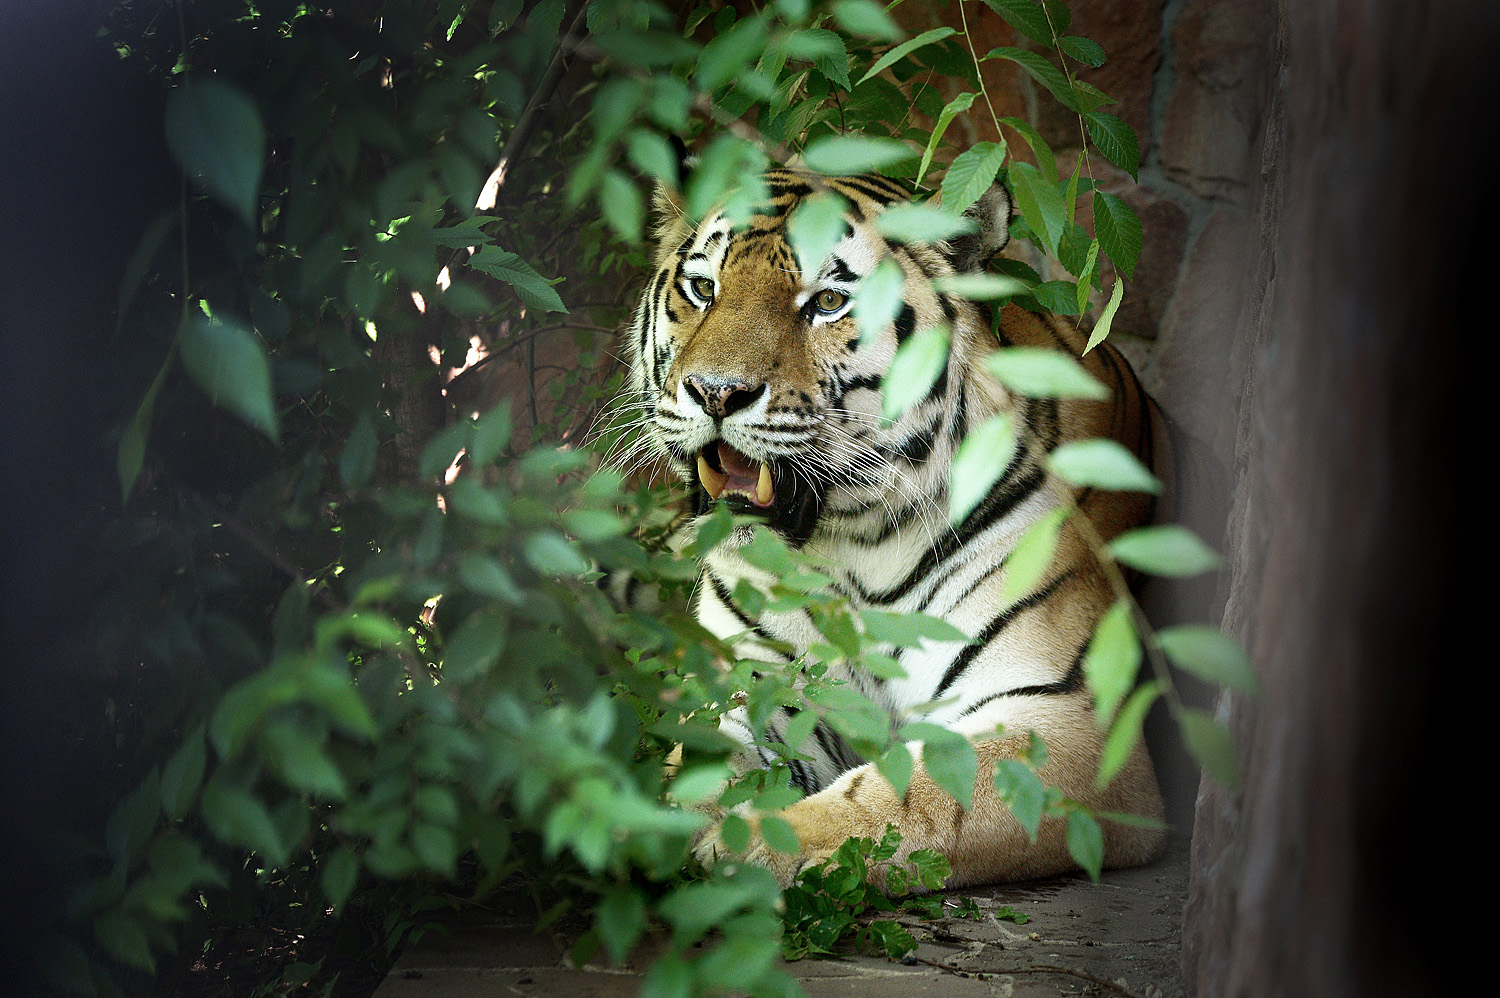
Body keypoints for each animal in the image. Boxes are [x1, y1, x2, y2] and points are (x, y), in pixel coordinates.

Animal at [621, 165, 1170, 888]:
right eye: (704, 288)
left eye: (828, 302)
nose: (715, 392)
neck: (852, 540)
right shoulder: (755, 682)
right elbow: (699, 762)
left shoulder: (1067, 719)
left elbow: (912, 796)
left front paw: (748, 847)